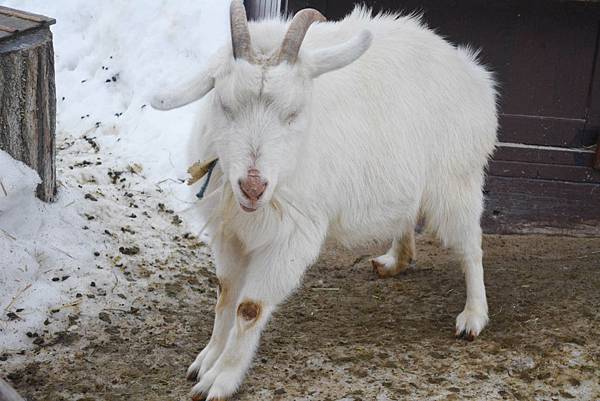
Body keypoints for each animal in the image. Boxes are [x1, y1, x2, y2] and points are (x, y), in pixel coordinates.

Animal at [154, 2, 496, 396]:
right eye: (224, 105)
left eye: (293, 113)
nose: (253, 187)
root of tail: (471, 71)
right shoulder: (230, 233)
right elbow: (225, 294)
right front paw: (206, 360)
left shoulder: (290, 239)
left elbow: (249, 308)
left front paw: (220, 380)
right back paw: (395, 260)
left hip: (457, 182)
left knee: (470, 247)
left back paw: (473, 317)